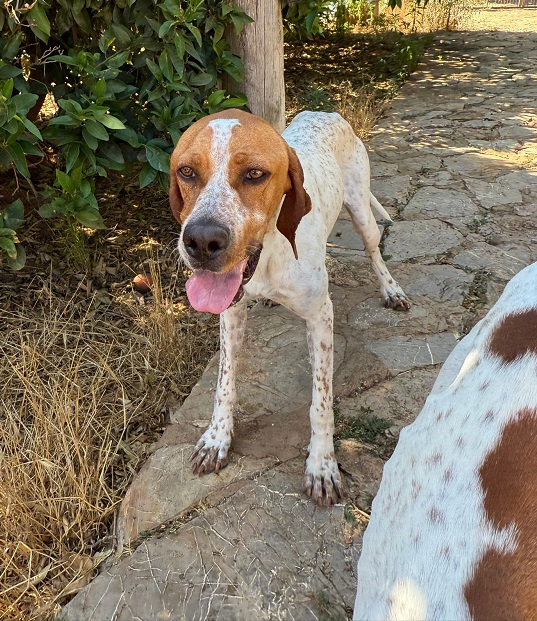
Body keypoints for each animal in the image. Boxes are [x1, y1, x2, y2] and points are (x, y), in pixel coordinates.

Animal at [169, 109, 410, 506]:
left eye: (255, 174)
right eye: (186, 171)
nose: (202, 241)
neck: (268, 255)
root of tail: (326, 112)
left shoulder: (321, 316)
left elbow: (321, 402)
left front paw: (322, 464)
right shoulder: (231, 314)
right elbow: (224, 384)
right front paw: (217, 438)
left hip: (362, 212)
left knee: (374, 250)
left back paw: (391, 290)